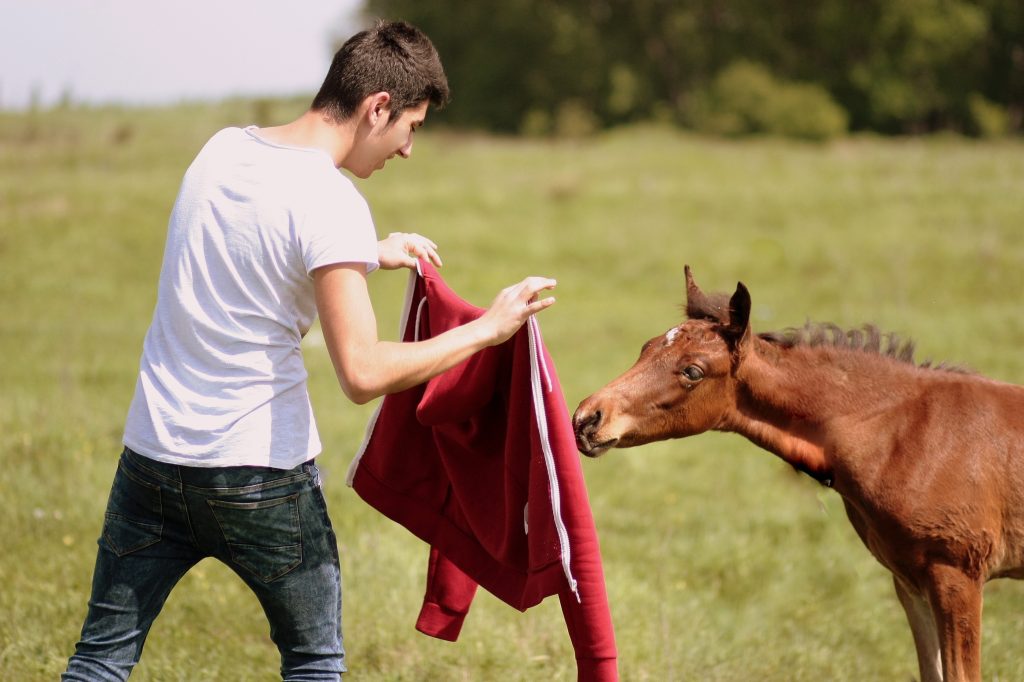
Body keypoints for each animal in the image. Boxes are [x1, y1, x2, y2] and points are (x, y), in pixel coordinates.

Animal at [572, 266, 1024, 682]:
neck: (902, 432)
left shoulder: (957, 575)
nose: (587, 419)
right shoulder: (909, 580)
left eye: (693, 371)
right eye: (646, 348)